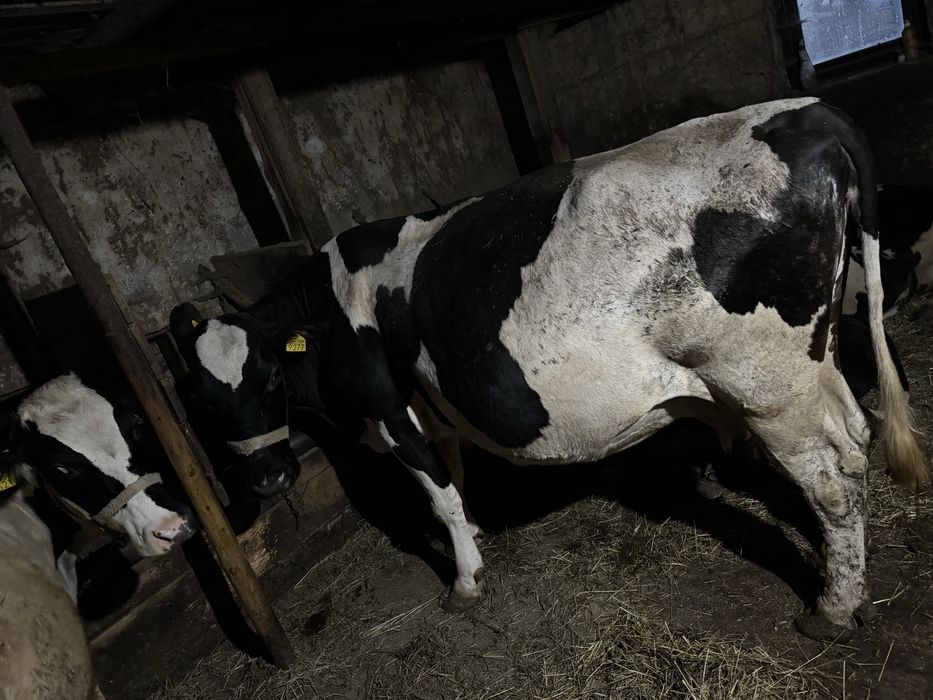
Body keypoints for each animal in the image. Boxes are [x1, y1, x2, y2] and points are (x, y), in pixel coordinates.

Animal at [170, 97, 928, 641]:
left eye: (269, 379)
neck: (329, 310)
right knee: (857, 435)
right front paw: (476, 537)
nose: (268, 479)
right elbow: (455, 474)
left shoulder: (389, 409)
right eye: (202, 403)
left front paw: (466, 581)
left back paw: (832, 608)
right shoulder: (433, 407)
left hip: (767, 383)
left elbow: (438, 496)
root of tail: (803, 111)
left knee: (831, 475)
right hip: (816, 360)